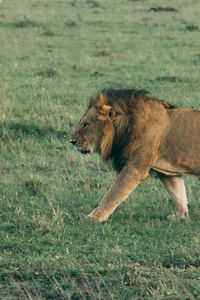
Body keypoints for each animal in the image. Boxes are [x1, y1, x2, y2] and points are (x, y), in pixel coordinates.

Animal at [70, 88, 200, 221]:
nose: (72, 141)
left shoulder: (135, 169)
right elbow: (178, 193)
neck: (127, 126)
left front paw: (93, 217)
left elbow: (112, 194)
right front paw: (181, 216)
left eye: (85, 124)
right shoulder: (168, 173)